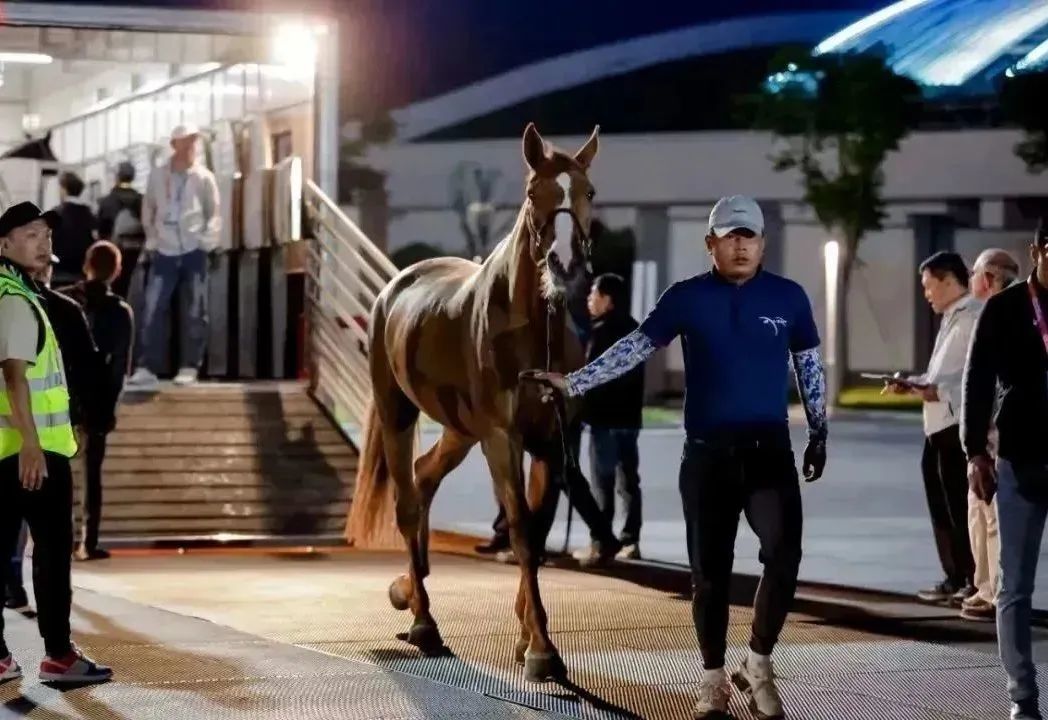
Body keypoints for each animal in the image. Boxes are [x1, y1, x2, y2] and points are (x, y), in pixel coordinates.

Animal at [350, 122, 603, 683]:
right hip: (401, 413)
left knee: (423, 477)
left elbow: (534, 529)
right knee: (406, 501)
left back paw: (409, 589)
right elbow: (522, 531)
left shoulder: (550, 443)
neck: (530, 330)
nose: (566, 264)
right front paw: (542, 650)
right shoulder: (502, 439)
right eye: (533, 193)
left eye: (589, 193)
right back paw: (424, 622)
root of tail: (392, 289)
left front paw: (528, 636)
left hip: (460, 430)